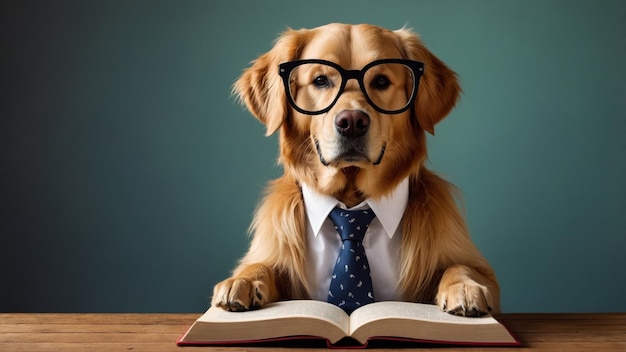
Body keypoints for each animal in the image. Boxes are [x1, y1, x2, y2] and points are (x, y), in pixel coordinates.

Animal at [212, 23, 500, 318]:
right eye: (320, 80)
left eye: (381, 81)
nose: (351, 122)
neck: (351, 200)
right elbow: (259, 264)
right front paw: (243, 280)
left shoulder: (479, 269)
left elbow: (460, 265)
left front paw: (464, 286)